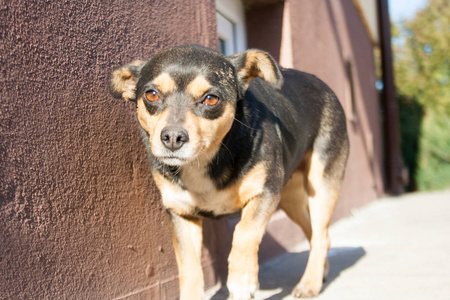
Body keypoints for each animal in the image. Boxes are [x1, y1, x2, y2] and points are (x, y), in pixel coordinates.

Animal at [110, 45, 352, 300]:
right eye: (152, 95)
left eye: (210, 99)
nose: (173, 137)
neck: (206, 160)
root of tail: (325, 87)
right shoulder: (181, 212)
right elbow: (189, 266)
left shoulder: (264, 194)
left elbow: (244, 232)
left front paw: (242, 280)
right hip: (290, 199)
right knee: (315, 233)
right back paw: (320, 273)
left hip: (322, 186)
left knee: (321, 234)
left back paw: (309, 283)